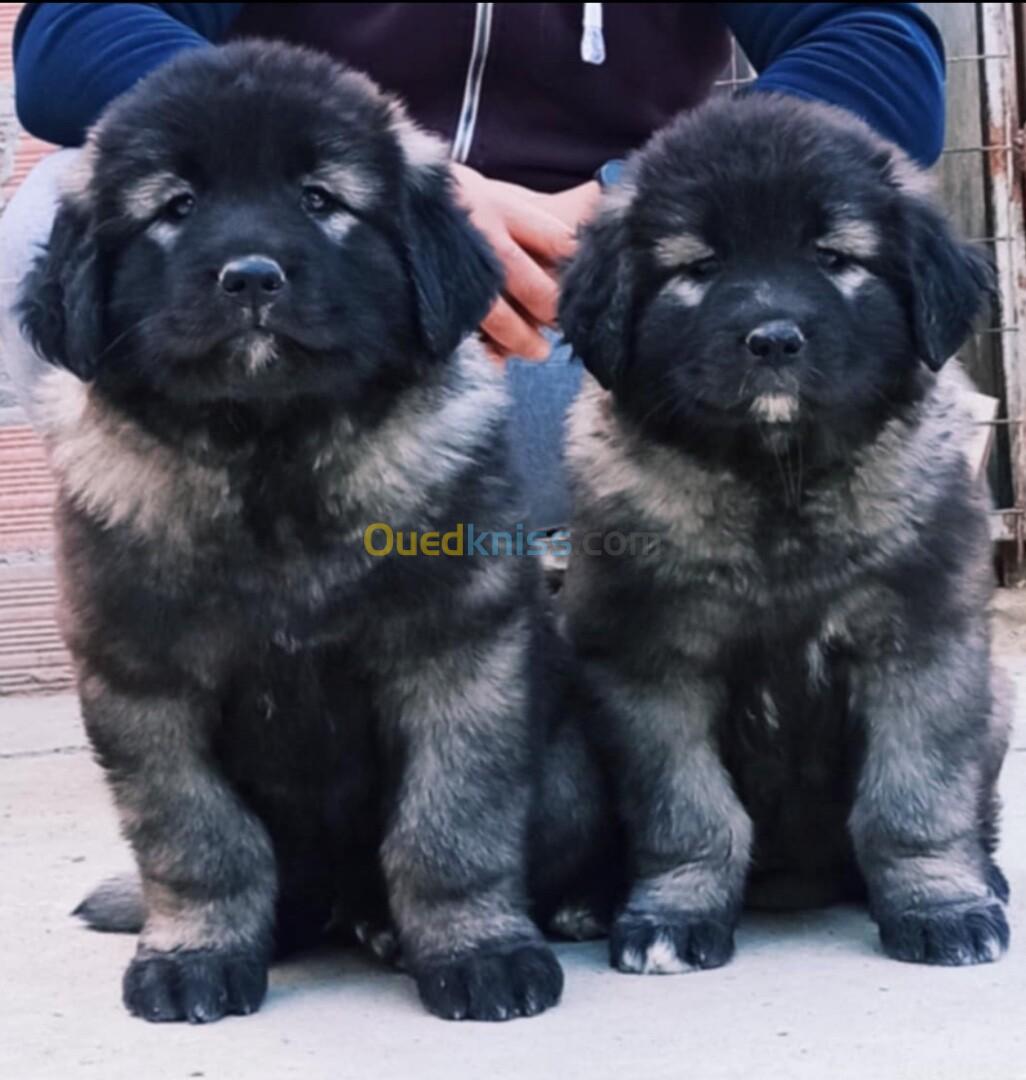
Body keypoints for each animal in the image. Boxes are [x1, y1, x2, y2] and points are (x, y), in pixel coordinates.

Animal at [20, 41, 567, 1023]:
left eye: (320, 199)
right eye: (176, 208)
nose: (250, 278)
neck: (272, 455)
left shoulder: (458, 654)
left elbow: (451, 825)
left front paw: (480, 951)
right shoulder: (143, 681)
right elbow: (196, 838)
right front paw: (193, 955)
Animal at [557, 93, 1009, 974]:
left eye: (834, 257)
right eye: (700, 268)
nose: (772, 338)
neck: (777, 481)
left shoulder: (921, 646)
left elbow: (913, 799)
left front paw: (941, 903)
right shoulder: (651, 665)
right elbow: (688, 811)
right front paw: (674, 913)